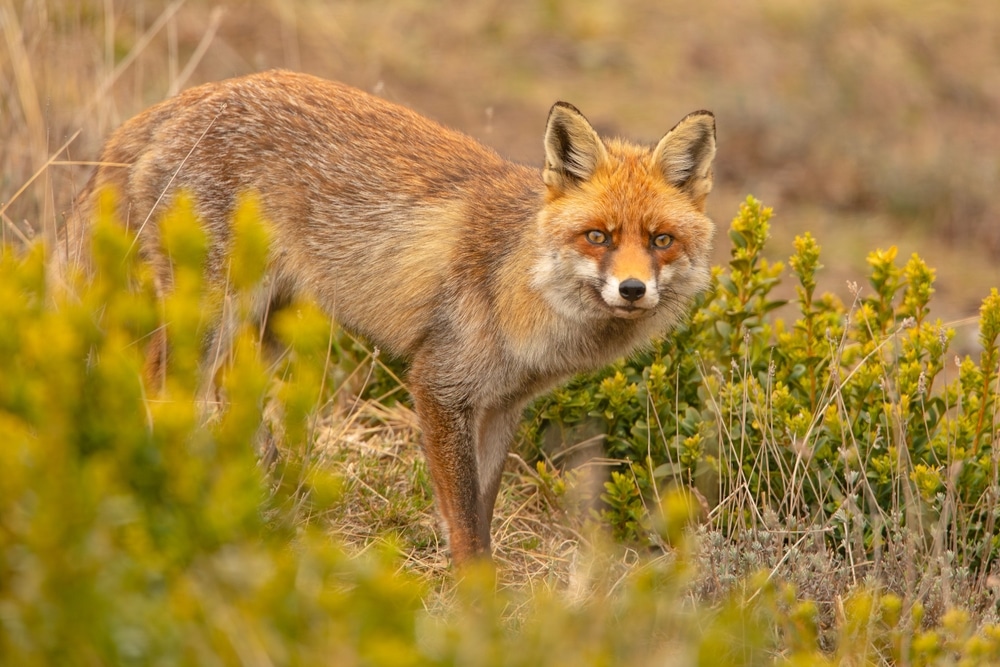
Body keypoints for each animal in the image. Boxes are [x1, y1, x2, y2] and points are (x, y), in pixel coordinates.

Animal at [64, 70, 720, 568]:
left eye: (661, 240)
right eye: (597, 237)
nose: (632, 289)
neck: (520, 283)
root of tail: (178, 102)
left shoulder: (502, 405)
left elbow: (482, 509)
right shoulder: (439, 383)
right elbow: (465, 523)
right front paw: (477, 605)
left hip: (275, 319)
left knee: (230, 390)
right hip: (214, 310)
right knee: (158, 379)